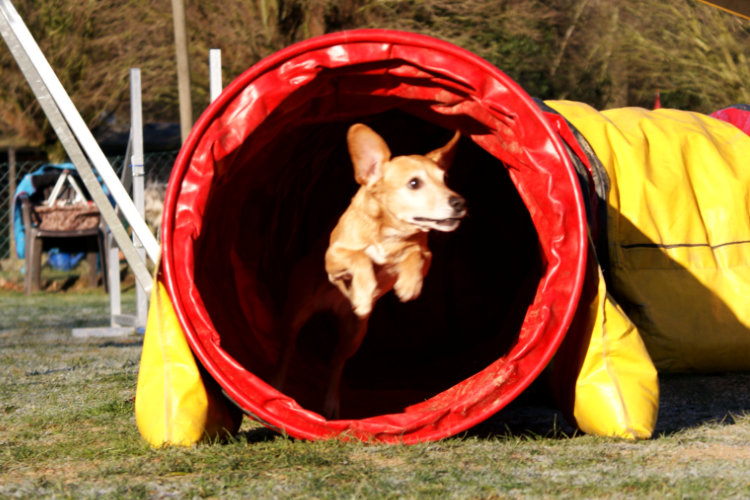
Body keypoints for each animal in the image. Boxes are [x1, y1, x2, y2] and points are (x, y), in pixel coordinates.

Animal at [274, 125, 468, 418]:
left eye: (445, 178)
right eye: (414, 183)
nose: (459, 202)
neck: (387, 232)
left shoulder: (426, 256)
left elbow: (413, 255)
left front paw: (408, 285)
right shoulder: (333, 258)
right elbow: (361, 257)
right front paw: (365, 292)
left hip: (354, 334)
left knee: (336, 362)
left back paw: (331, 404)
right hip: (294, 318)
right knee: (286, 352)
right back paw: (278, 389)